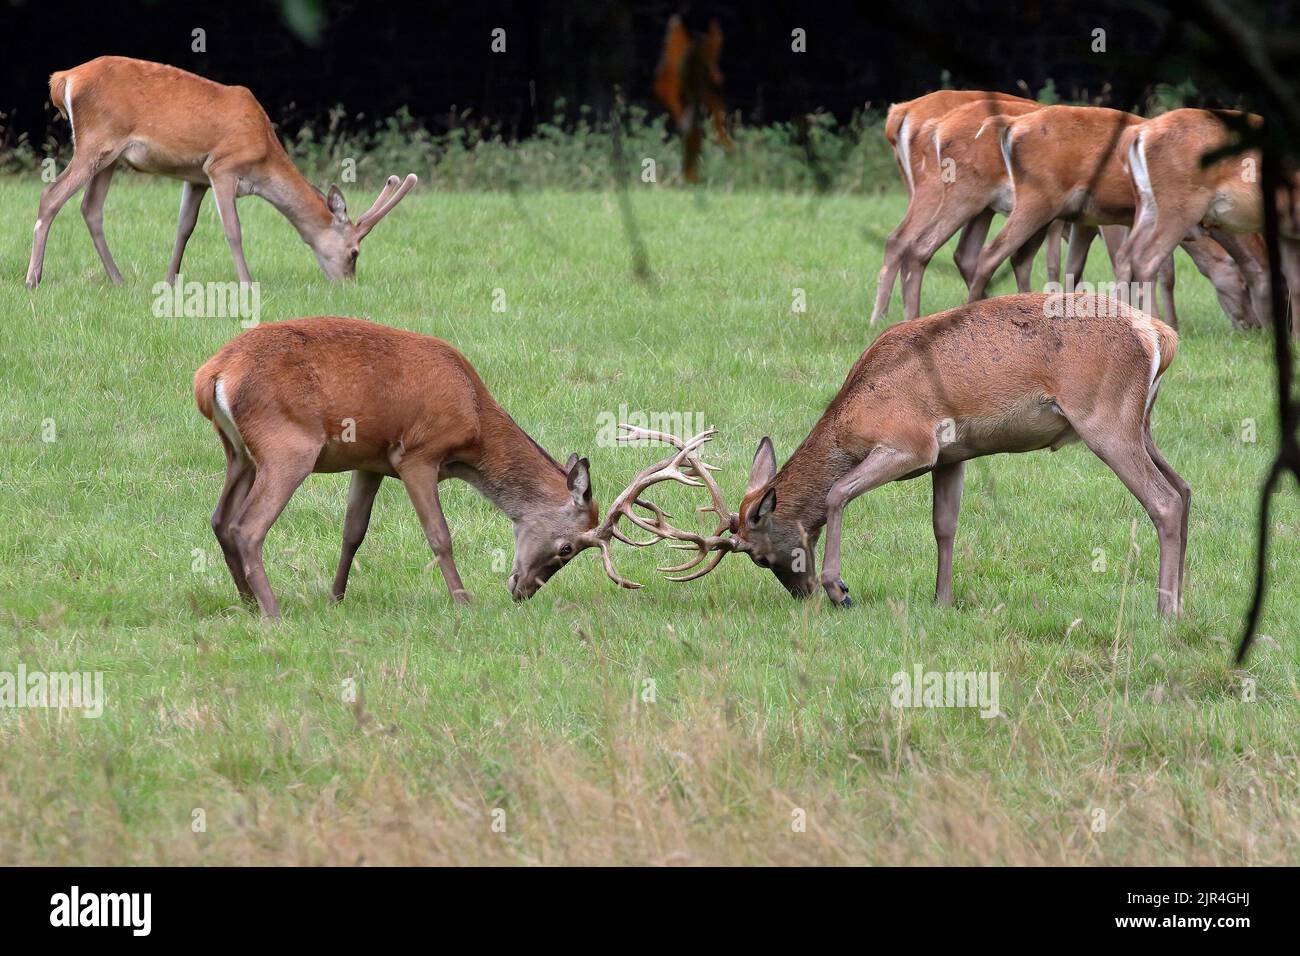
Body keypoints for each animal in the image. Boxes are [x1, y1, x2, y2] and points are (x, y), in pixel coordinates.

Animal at [25, 55, 416, 287]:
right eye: (354, 253)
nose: (349, 284)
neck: (264, 158)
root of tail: (64, 79)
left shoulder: (196, 176)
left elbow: (184, 228)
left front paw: (169, 281)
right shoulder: (222, 167)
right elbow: (234, 230)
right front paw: (247, 282)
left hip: (110, 156)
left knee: (90, 208)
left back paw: (118, 279)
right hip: (97, 140)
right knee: (51, 195)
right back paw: (33, 278)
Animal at [189, 317, 691, 616]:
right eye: (567, 548)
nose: (523, 590)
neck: (474, 424)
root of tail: (212, 375)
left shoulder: (369, 461)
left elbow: (353, 532)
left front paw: (336, 598)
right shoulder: (416, 453)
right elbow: (439, 535)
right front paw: (463, 599)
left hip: (239, 453)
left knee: (219, 519)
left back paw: (247, 603)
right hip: (288, 446)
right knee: (247, 527)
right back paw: (273, 612)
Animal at [618, 293, 1190, 621]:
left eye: (758, 554)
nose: (802, 593)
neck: (851, 421)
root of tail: (1160, 335)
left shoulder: (913, 442)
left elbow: (838, 491)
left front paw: (841, 590)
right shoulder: (953, 453)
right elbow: (945, 525)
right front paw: (942, 602)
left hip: (1104, 419)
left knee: (1162, 501)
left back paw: (1164, 610)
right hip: (1141, 423)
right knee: (1184, 490)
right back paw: (1181, 598)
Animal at [1118, 107, 1289, 330]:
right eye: (1243, 284)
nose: (1256, 328)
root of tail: (1140, 132)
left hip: (1147, 204)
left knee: (1124, 255)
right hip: (1178, 206)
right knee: (1145, 259)